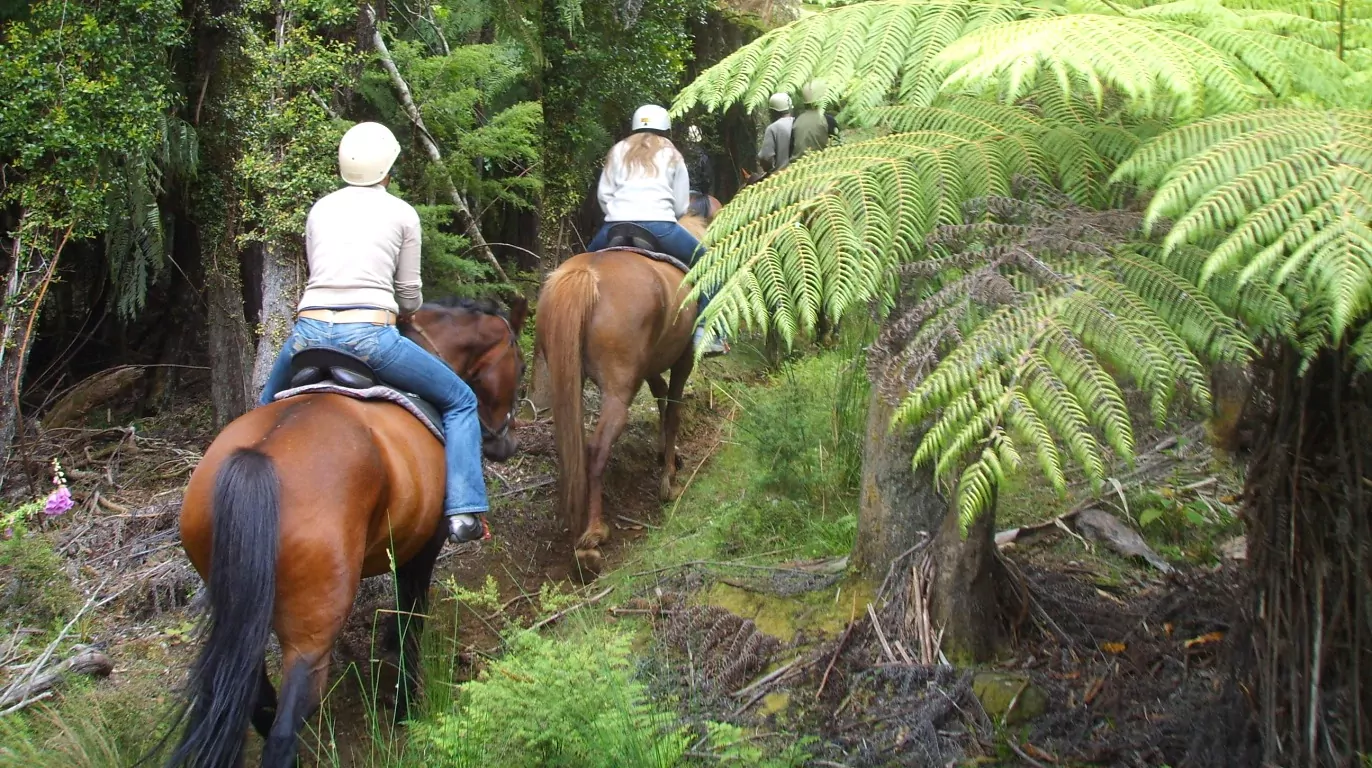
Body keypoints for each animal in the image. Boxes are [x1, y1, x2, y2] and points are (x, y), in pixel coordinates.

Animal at [157, 298, 524, 768]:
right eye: (521, 364)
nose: (504, 445)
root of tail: (257, 459)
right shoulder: (423, 545)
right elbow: (410, 619)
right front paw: (405, 705)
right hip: (313, 629)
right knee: (283, 729)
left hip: (239, 608)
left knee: (255, 699)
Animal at [537, 204, 718, 576]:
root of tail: (586, 276)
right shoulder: (683, 359)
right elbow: (674, 409)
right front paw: (668, 479)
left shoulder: (648, 367)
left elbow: (661, 395)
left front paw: (667, 456)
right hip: (619, 391)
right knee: (596, 449)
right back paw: (594, 535)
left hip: (569, 375)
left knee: (573, 444)